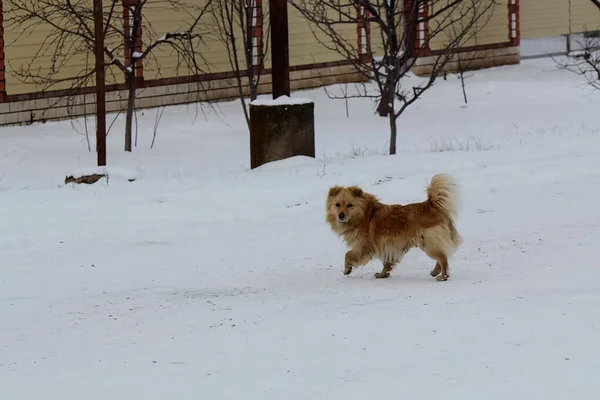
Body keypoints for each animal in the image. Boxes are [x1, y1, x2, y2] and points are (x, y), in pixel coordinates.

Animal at [326, 173, 462, 280]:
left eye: (350, 205)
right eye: (337, 205)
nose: (341, 215)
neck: (364, 215)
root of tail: (431, 205)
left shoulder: (365, 246)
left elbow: (348, 254)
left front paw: (347, 269)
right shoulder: (387, 246)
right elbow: (386, 263)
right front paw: (383, 274)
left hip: (428, 242)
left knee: (443, 258)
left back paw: (443, 276)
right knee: (442, 255)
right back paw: (435, 271)